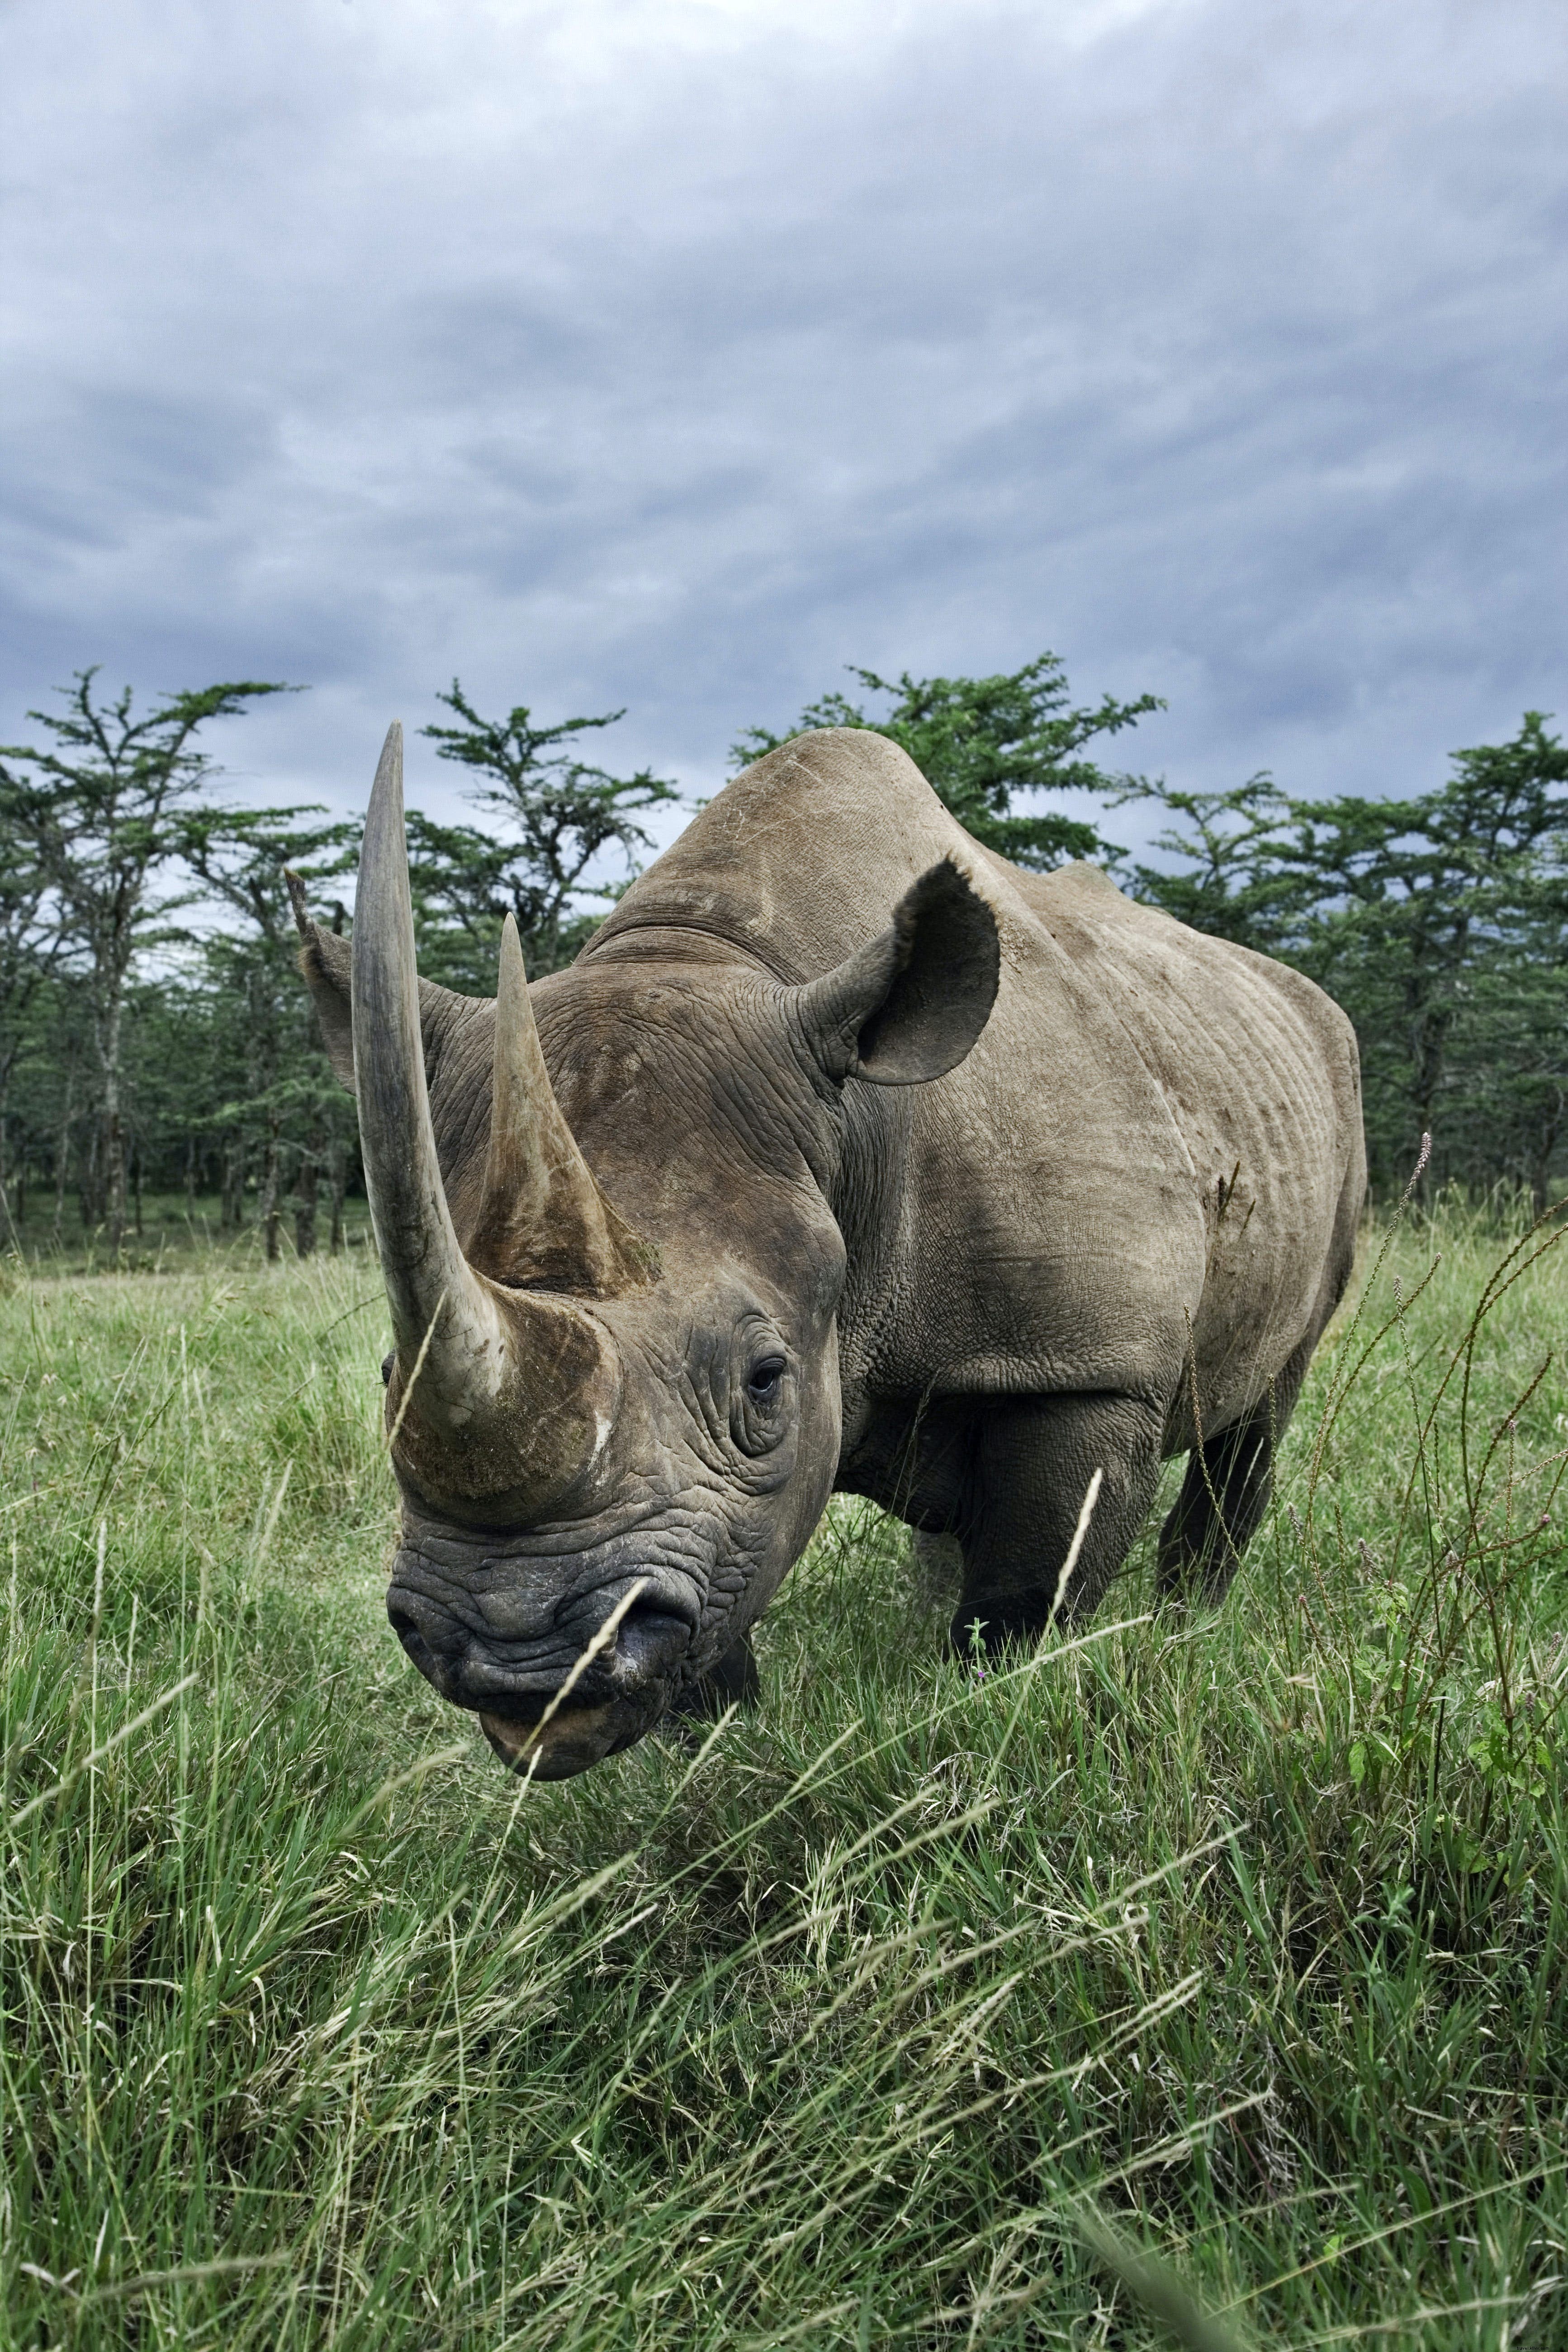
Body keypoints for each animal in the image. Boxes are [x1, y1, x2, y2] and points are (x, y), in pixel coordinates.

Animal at [293, 721, 1364, 1778]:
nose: (517, 1657)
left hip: (1327, 1084)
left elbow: (1025, 1599)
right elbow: (729, 1600)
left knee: (1263, 1406)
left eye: (765, 1379)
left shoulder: (1090, 1365)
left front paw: (990, 1710)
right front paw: (719, 1749)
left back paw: (1187, 1627)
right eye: (388, 1375)